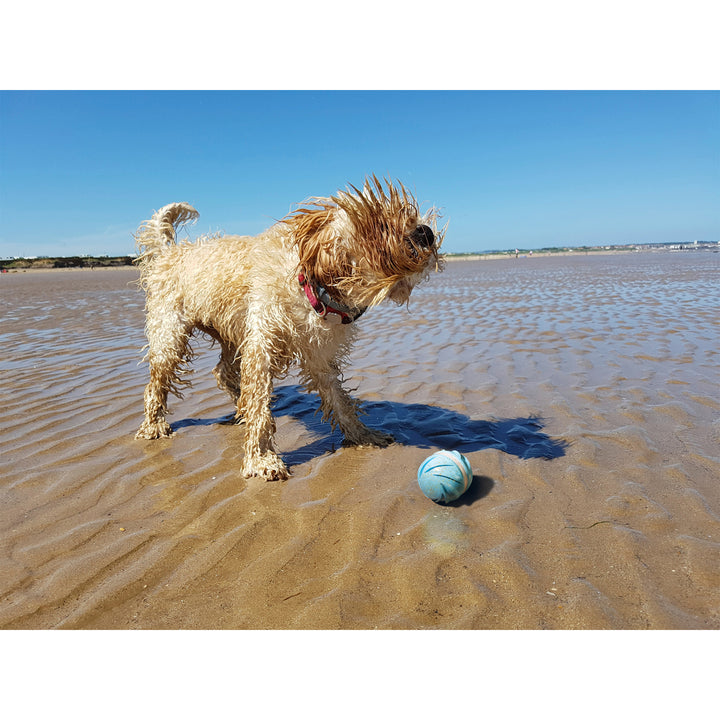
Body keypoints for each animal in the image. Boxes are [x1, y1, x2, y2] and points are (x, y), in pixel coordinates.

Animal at [132, 175, 442, 480]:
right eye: (380, 223)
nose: (426, 232)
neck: (313, 289)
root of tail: (170, 252)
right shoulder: (261, 345)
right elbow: (259, 403)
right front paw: (262, 459)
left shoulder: (318, 355)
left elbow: (339, 399)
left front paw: (361, 435)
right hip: (170, 336)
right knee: (157, 382)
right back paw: (154, 425)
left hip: (231, 332)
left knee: (222, 371)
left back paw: (238, 405)